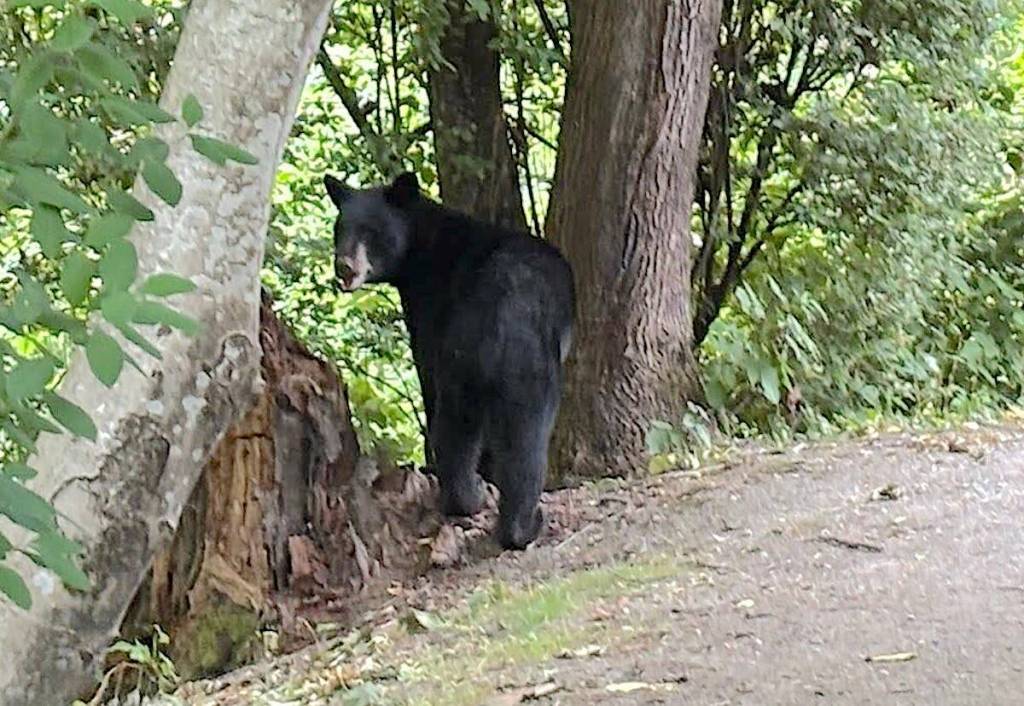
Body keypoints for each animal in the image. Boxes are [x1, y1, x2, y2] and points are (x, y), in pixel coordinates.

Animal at [323, 171, 574, 549]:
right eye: (341, 228)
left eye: (370, 231)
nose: (344, 266)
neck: (420, 249)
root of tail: (496, 310)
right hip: (517, 366)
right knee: (519, 438)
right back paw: (515, 521)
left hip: (470, 365)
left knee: (462, 426)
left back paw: (475, 502)